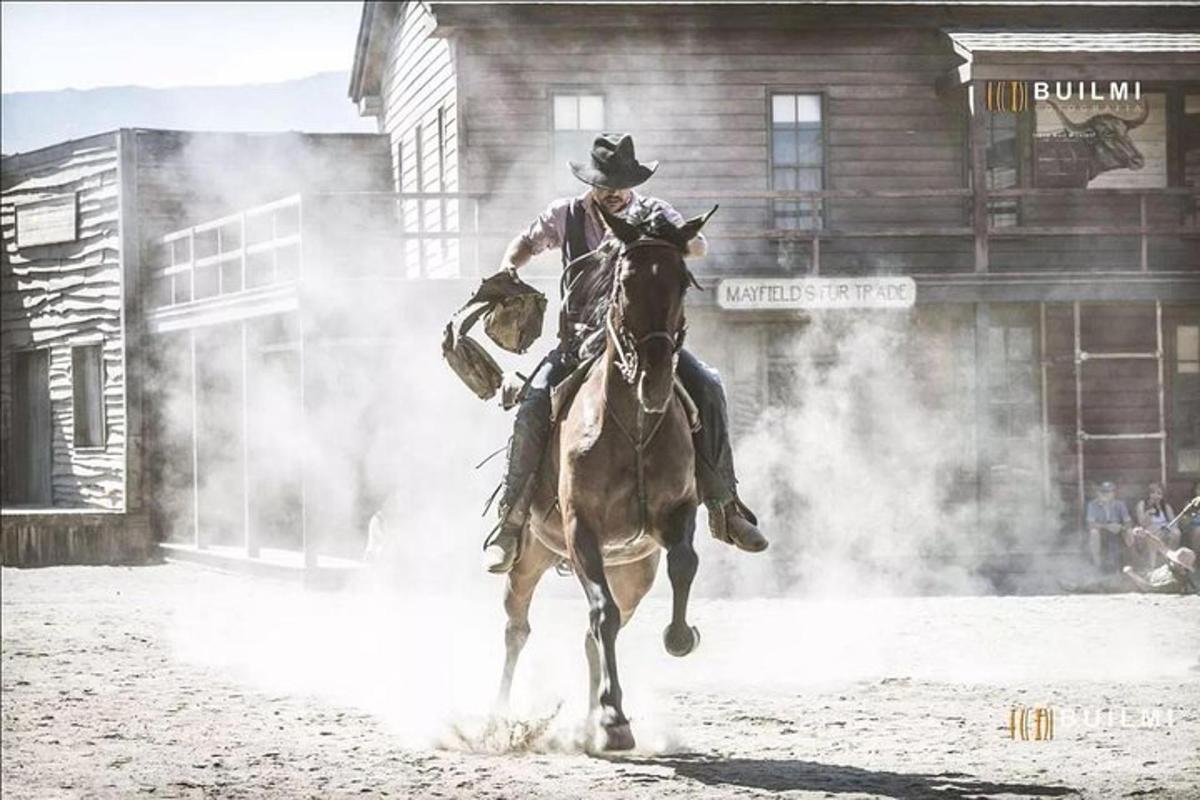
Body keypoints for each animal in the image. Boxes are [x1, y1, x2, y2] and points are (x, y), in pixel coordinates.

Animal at [494, 205, 715, 753]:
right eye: (625, 281)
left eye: (682, 280)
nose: (655, 379)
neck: (632, 426)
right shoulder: (581, 529)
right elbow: (602, 613)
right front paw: (614, 719)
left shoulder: (677, 513)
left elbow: (684, 564)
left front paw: (680, 638)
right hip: (531, 555)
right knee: (518, 626)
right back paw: (500, 719)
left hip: (634, 572)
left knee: (594, 635)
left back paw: (592, 718)